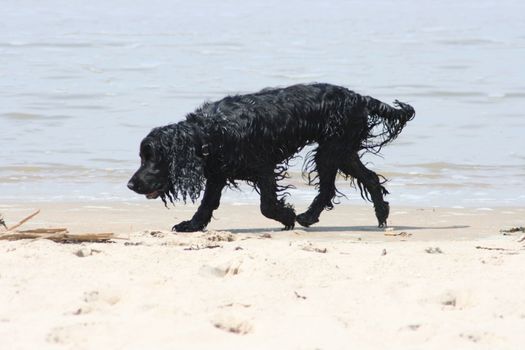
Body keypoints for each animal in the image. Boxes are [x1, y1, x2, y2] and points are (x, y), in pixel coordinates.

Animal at [127, 83, 414, 232]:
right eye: (142, 157)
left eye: (151, 157)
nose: (130, 184)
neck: (210, 131)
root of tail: (360, 98)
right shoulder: (218, 173)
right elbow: (207, 204)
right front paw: (192, 225)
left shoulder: (263, 166)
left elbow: (266, 204)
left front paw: (286, 216)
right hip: (340, 151)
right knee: (366, 179)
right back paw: (378, 215)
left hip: (333, 150)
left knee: (333, 186)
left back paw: (307, 217)